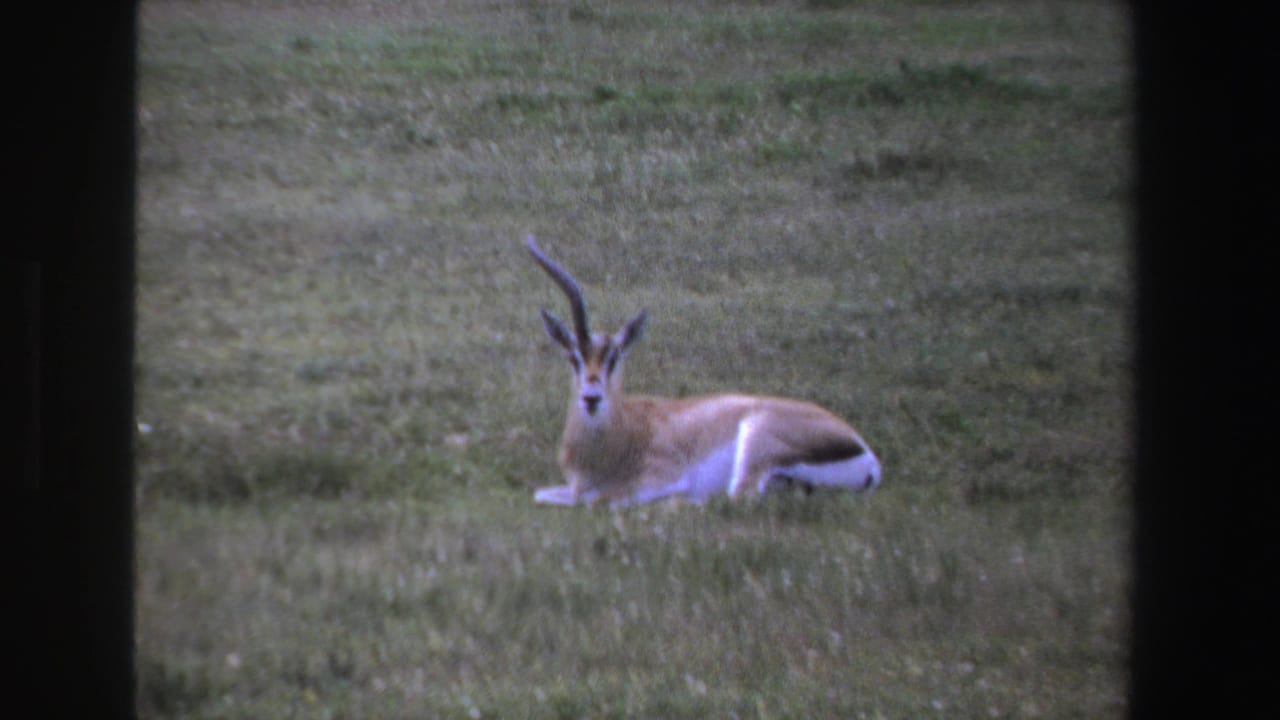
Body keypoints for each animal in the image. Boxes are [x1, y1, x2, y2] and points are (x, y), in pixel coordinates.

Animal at [526, 236, 881, 507]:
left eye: (615, 358)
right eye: (574, 357)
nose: (591, 397)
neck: (624, 435)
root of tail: (865, 453)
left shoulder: (658, 479)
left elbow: (597, 501)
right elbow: (541, 494)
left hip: (753, 443)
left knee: (735, 498)